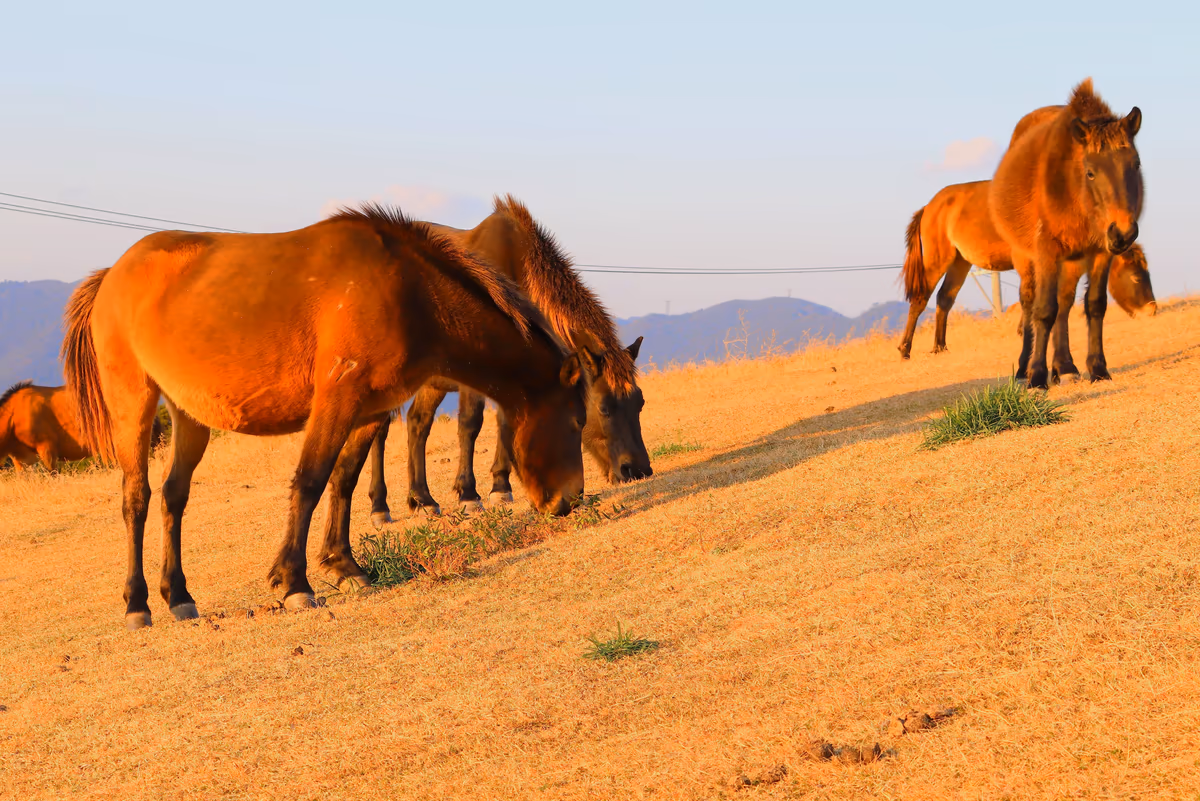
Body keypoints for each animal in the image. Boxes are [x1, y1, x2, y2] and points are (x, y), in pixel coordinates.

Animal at [62, 204, 589, 629]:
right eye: (576, 423)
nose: (569, 502)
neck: (408, 291)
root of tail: (112, 273)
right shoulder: (336, 399)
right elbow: (311, 481)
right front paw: (294, 583)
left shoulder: (369, 409)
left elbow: (344, 481)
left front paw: (343, 565)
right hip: (133, 403)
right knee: (137, 499)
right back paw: (138, 604)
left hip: (189, 414)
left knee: (174, 497)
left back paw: (179, 596)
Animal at [365, 195, 651, 523]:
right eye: (603, 408)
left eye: (640, 402)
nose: (638, 470)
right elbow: (470, 424)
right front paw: (469, 494)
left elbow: (504, 424)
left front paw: (500, 487)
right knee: (380, 433)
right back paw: (380, 506)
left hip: (432, 384)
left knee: (417, 424)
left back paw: (422, 499)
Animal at [897, 180, 1155, 379]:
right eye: (1136, 278)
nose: (1152, 309)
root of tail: (929, 206)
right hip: (937, 259)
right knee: (920, 300)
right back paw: (905, 349)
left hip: (960, 261)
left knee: (944, 299)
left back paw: (940, 347)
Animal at [990, 78, 1143, 389]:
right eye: (1091, 172)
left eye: (1136, 164)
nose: (1123, 232)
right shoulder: (1047, 252)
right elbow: (1044, 310)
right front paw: (1037, 376)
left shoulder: (1100, 253)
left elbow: (1094, 306)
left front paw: (1098, 369)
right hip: (1026, 261)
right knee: (1029, 305)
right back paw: (1024, 369)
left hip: (1072, 263)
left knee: (1064, 303)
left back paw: (1064, 367)